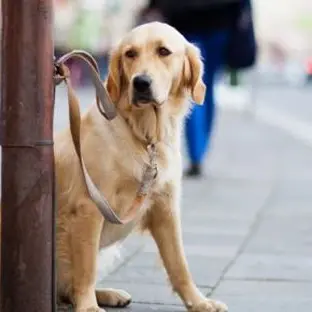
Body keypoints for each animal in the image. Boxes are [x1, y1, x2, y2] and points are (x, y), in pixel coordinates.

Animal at [3, 22, 227, 312]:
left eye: (163, 51)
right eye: (130, 54)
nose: (140, 83)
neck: (144, 136)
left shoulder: (165, 207)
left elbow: (179, 265)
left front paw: (198, 301)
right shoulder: (89, 207)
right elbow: (86, 269)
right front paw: (87, 306)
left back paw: (109, 293)